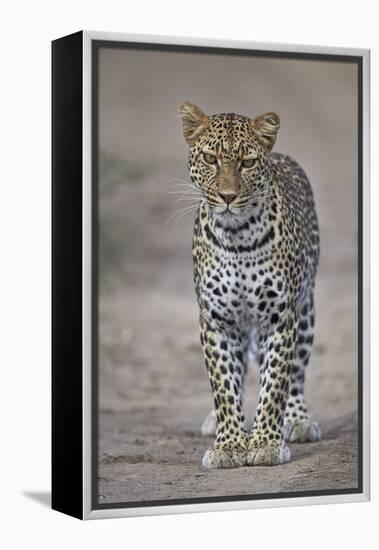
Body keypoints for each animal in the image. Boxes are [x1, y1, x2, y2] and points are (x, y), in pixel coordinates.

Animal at [180, 102, 322, 470]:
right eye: (210, 159)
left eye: (247, 162)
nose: (228, 197)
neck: (237, 235)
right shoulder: (216, 321)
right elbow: (223, 385)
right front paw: (229, 444)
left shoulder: (281, 318)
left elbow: (275, 385)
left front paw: (266, 443)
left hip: (306, 311)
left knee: (297, 374)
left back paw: (297, 421)